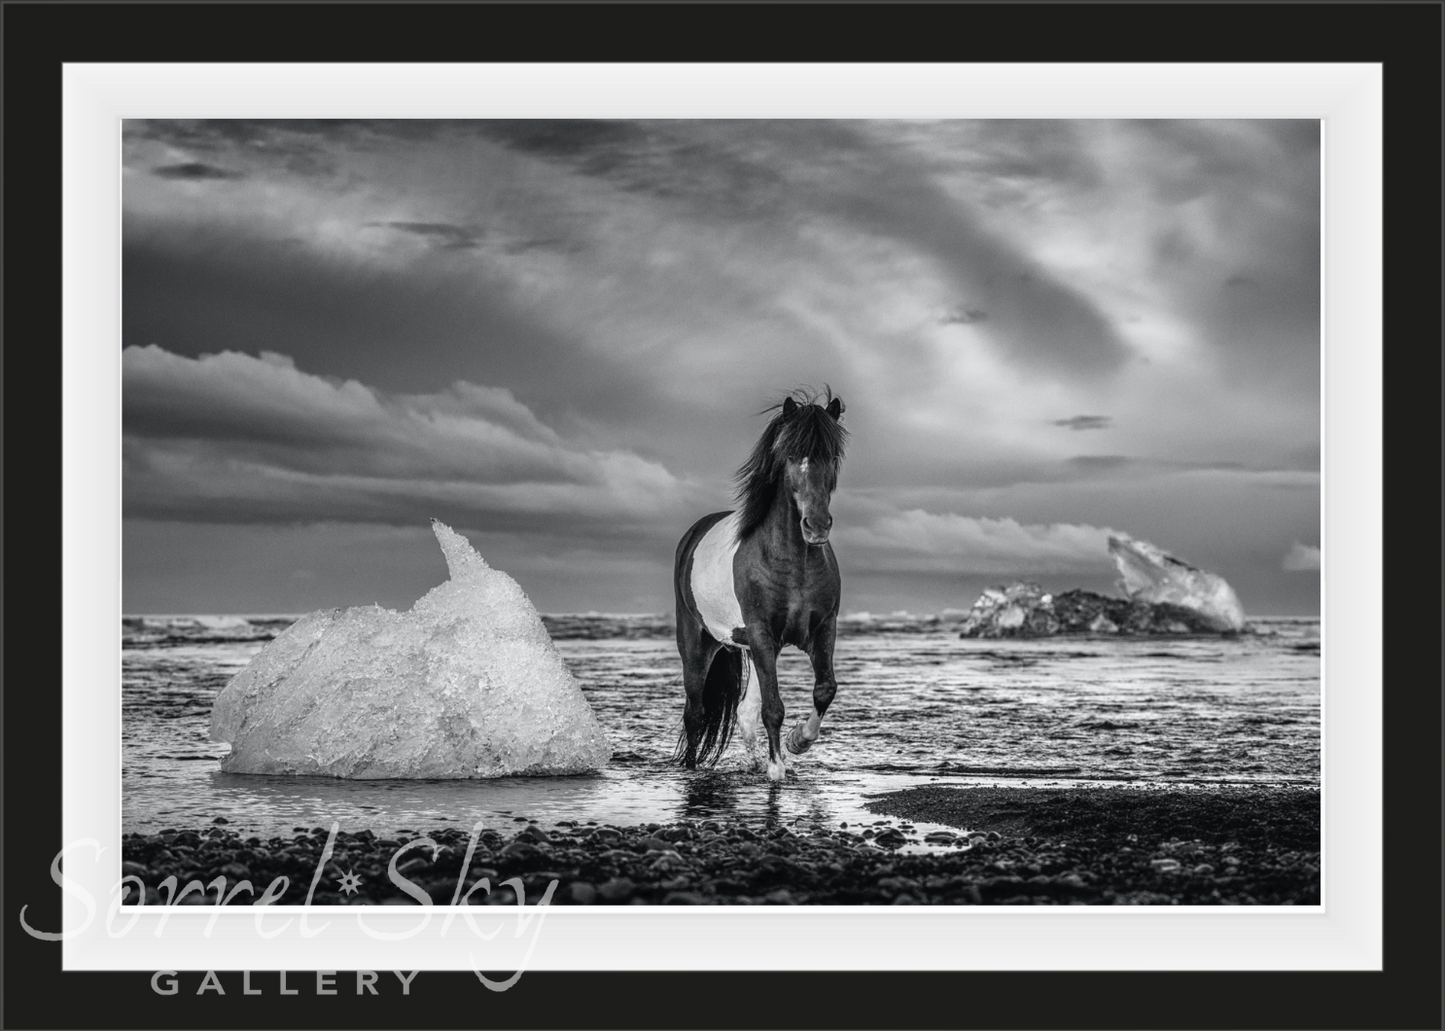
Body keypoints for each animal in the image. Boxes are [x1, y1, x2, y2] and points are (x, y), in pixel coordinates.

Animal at [673, 387, 849, 780]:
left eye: (832, 455)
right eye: (791, 454)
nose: (816, 526)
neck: (793, 564)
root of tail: (692, 535)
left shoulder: (821, 628)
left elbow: (825, 689)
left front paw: (797, 742)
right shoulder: (763, 633)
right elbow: (774, 707)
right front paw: (776, 769)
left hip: (753, 648)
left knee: (743, 713)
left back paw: (754, 760)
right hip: (698, 643)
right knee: (695, 714)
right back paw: (693, 767)